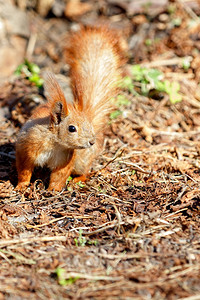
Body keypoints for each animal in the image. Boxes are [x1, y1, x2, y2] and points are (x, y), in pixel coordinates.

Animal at [15, 25, 124, 190]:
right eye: (71, 128)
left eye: (89, 126)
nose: (91, 142)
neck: (55, 144)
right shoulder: (26, 148)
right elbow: (24, 170)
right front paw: (21, 186)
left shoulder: (66, 159)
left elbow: (59, 176)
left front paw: (53, 191)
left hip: (81, 160)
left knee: (85, 172)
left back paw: (77, 180)